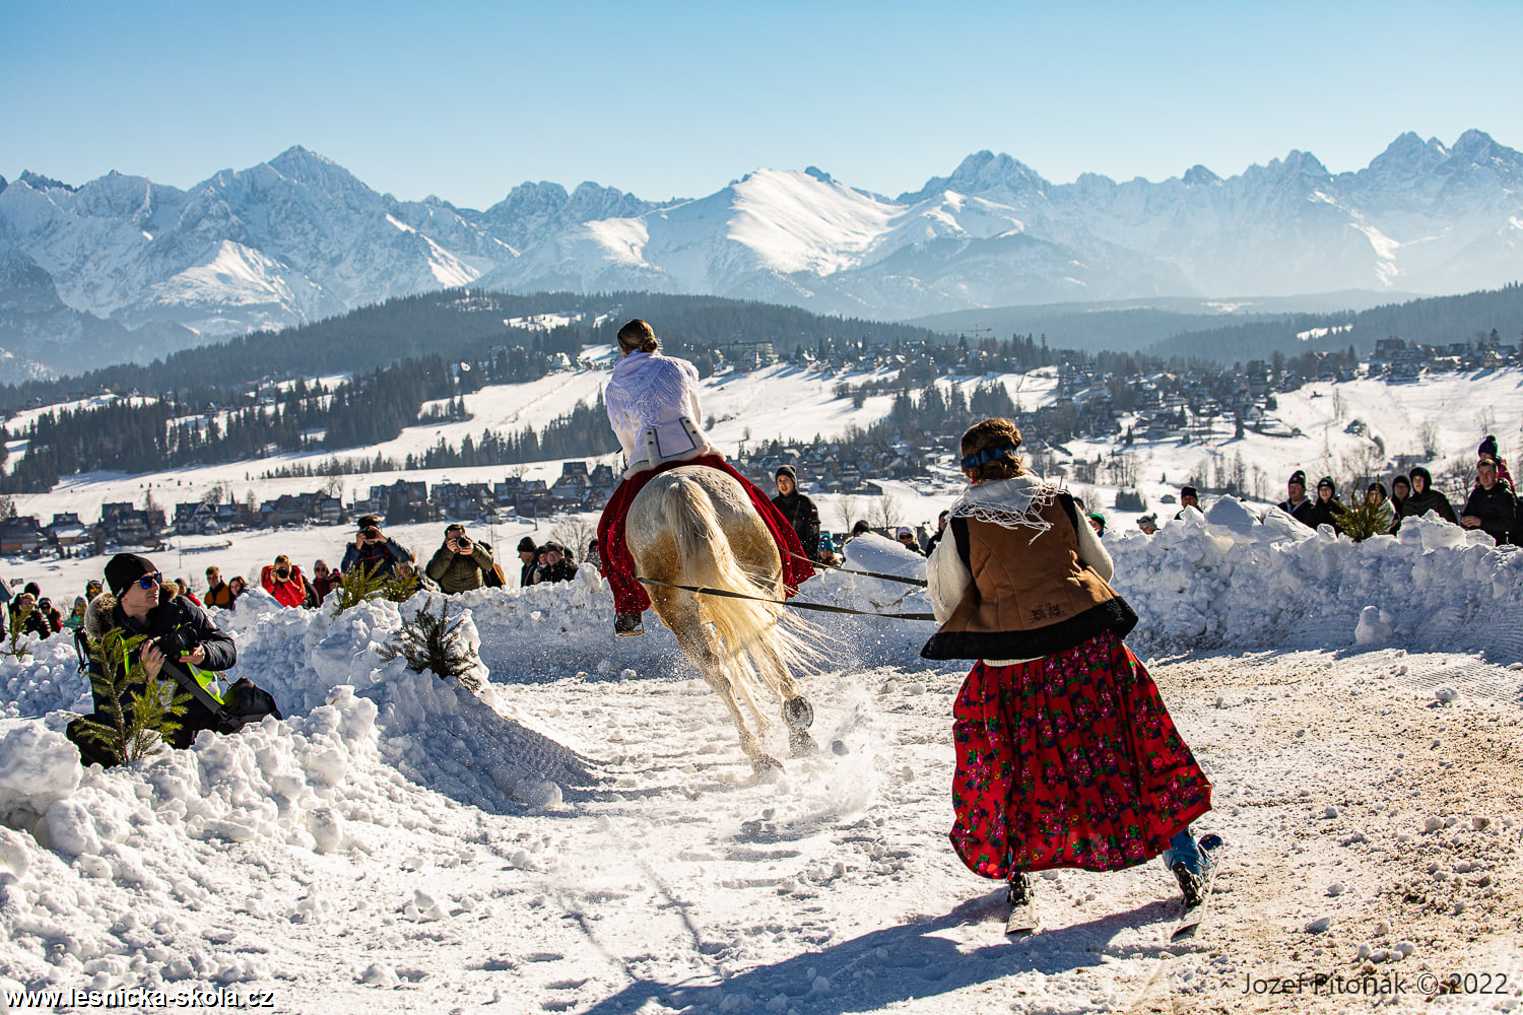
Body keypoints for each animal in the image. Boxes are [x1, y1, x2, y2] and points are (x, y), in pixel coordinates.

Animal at [621, 463, 816, 768]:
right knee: (748, 651)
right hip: (749, 585)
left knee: (722, 668)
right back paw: (785, 732)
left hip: (690, 608)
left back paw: (764, 746)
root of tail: (678, 486)